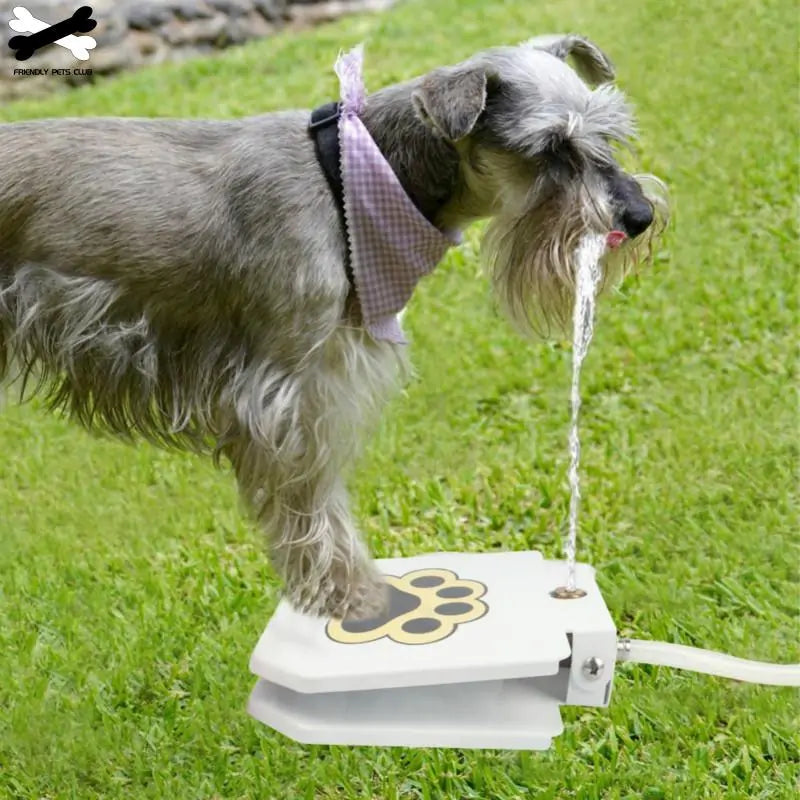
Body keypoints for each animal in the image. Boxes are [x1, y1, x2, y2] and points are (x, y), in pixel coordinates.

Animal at [0, 34, 668, 620]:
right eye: (552, 148)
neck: (348, 181)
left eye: (607, 133)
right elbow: (311, 504)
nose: (639, 215)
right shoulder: (284, 397)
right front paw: (351, 598)